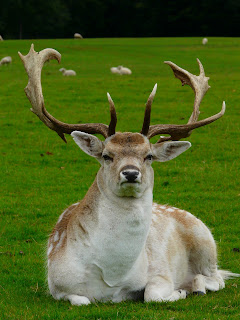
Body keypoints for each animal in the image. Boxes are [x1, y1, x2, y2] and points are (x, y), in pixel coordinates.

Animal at [19, 44, 240, 304]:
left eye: (149, 156)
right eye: (106, 155)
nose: (131, 173)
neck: (112, 276)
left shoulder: (160, 270)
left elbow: (152, 294)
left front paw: (179, 290)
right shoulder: (57, 284)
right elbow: (81, 299)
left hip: (205, 240)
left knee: (217, 278)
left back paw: (196, 286)